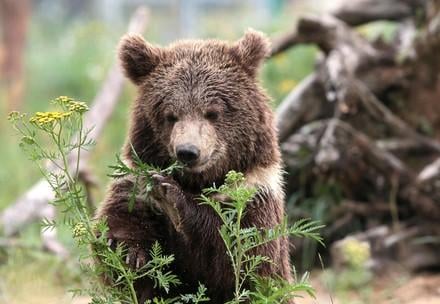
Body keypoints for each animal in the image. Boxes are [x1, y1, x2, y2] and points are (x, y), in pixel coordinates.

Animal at [98, 29, 294, 304]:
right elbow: (116, 225)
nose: (188, 152)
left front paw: (171, 196)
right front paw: (129, 255)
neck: (199, 181)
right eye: (170, 115)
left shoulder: (254, 194)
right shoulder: (135, 182)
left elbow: (240, 254)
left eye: (212, 113)